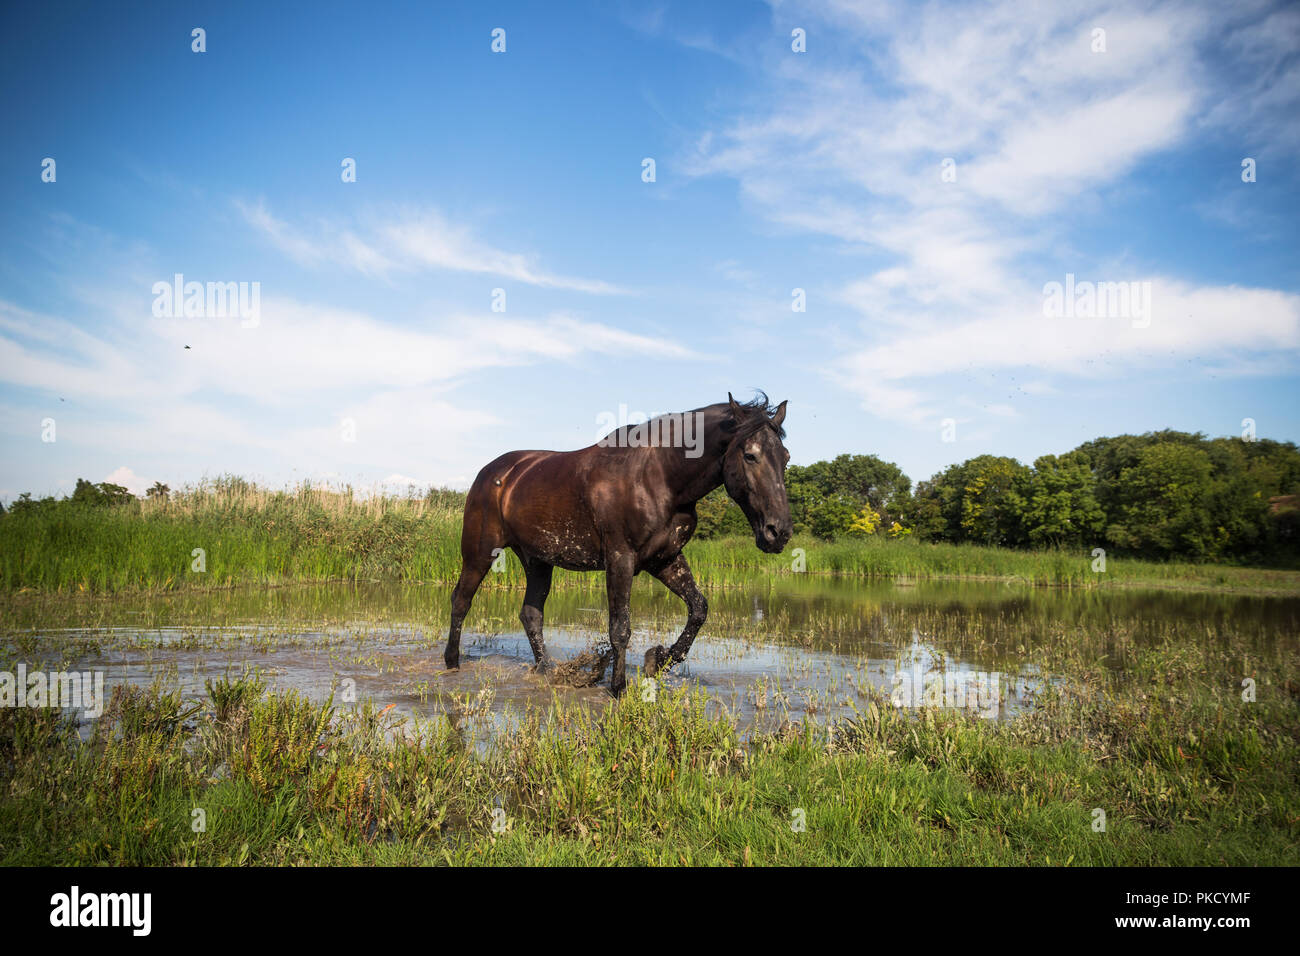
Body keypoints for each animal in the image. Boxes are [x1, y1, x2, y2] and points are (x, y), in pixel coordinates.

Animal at [443, 392, 793, 695]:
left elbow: (698, 609)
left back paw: (546, 671)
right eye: (750, 455)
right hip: (479, 553)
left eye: (785, 458)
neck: (659, 477)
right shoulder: (620, 559)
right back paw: (451, 662)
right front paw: (617, 688)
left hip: (537, 560)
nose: (779, 532)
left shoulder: (665, 559)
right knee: (461, 601)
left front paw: (658, 659)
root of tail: (493, 472)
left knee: (531, 614)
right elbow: (620, 628)